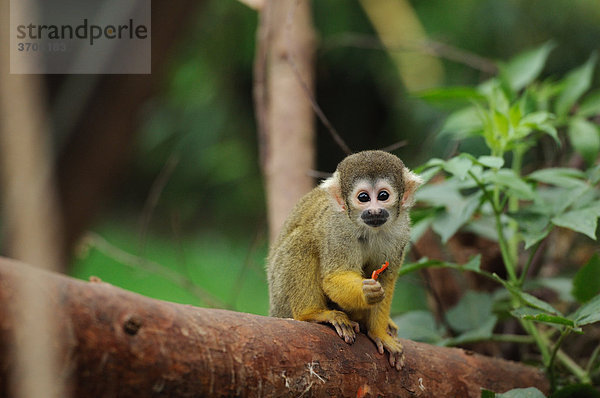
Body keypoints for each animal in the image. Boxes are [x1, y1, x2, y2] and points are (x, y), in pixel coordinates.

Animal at [268, 149, 422, 370]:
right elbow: (334, 276)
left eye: (383, 196)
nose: (374, 211)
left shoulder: (401, 232)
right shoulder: (338, 228)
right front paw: (366, 291)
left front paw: (379, 333)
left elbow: (386, 279)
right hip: (281, 299)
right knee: (302, 240)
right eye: (363, 197)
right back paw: (311, 313)